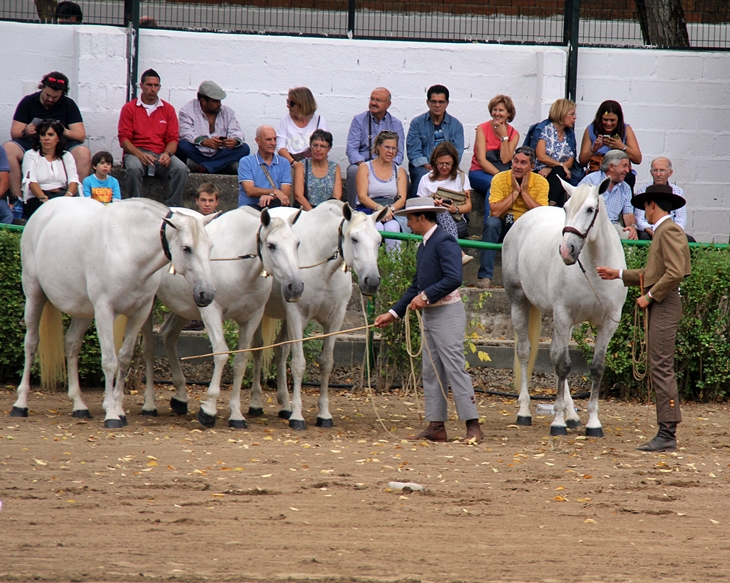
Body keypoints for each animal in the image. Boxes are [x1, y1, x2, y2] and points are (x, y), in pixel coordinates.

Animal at [10, 197, 216, 428]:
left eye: (210, 247)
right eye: (186, 248)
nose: (206, 294)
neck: (128, 247)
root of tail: (44, 209)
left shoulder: (139, 313)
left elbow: (124, 358)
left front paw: (119, 410)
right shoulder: (104, 311)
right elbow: (109, 361)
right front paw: (110, 414)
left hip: (83, 311)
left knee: (72, 345)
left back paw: (79, 405)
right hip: (34, 295)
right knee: (31, 342)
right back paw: (20, 404)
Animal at [139, 206, 302, 428]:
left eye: (297, 243)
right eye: (271, 245)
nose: (296, 286)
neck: (239, 265)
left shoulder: (251, 318)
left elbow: (241, 360)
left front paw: (236, 414)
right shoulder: (211, 311)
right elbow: (222, 353)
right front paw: (208, 410)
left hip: (184, 307)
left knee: (168, 335)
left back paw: (181, 398)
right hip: (149, 304)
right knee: (149, 348)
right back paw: (149, 404)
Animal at [249, 203, 386, 432]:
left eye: (378, 240)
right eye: (354, 239)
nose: (372, 281)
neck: (323, 269)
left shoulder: (335, 320)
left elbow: (326, 363)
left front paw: (324, 414)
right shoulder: (297, 316)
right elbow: (299, 364)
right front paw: (297, 417)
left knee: (280, 351)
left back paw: (284, 406)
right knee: (258, 349)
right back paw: (256, 403)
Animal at [500, 178, 624, 438]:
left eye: (590, 209)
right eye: (566, 208)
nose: (567, 250)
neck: (593, 268)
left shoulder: (607, 323)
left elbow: (596, 368)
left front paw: (592, 423)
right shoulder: (563, 316)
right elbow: (564, 366)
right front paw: (557, 422)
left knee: (554, 353)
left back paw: (573, 416)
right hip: (520, 302)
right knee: (525, 351)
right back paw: (525, 411)